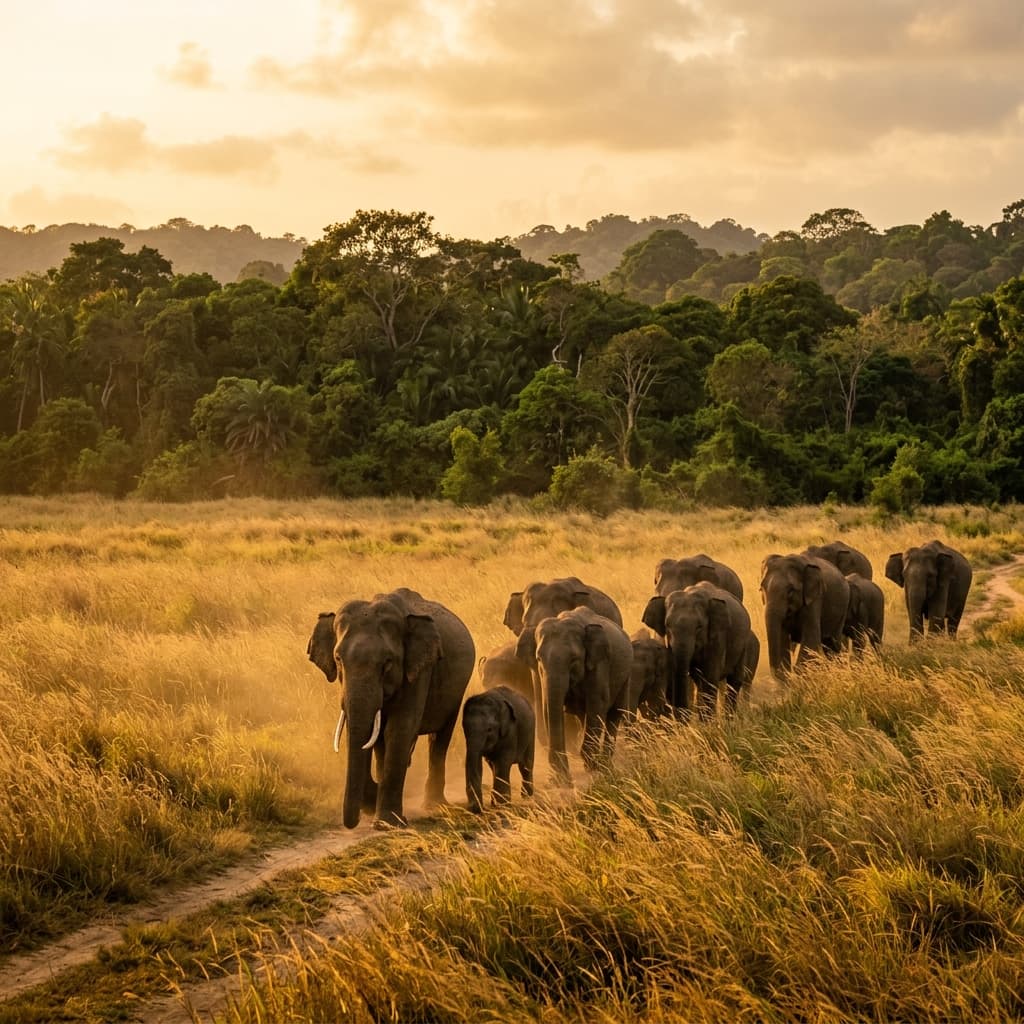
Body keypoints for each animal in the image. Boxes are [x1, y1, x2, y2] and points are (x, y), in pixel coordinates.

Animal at [306, 587, 475, 829]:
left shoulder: (419, 670)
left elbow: (399, 730)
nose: (354, 820)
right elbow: (372, 734)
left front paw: (387, 823)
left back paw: (434, 805)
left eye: (387, 663)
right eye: (338, 659)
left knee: (440, 737)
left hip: (456, 691)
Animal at [515, 607, 633, 784]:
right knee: (583, 715)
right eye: (539, 659)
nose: (566, 779)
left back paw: (604, 764)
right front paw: (560, 777)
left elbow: (597, 703)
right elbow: (547, 706)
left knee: (614, 713)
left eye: (573, 659)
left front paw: (592, 766)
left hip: (625, 676)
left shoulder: (600, 664)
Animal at [642, 582, 759, 719]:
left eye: (699, 627)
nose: (684, 717)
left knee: (734, 680)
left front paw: (708, 722)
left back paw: (729, 719)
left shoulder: (718, 636)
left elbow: (710, 677)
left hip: (743, 642)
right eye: (667, 626)